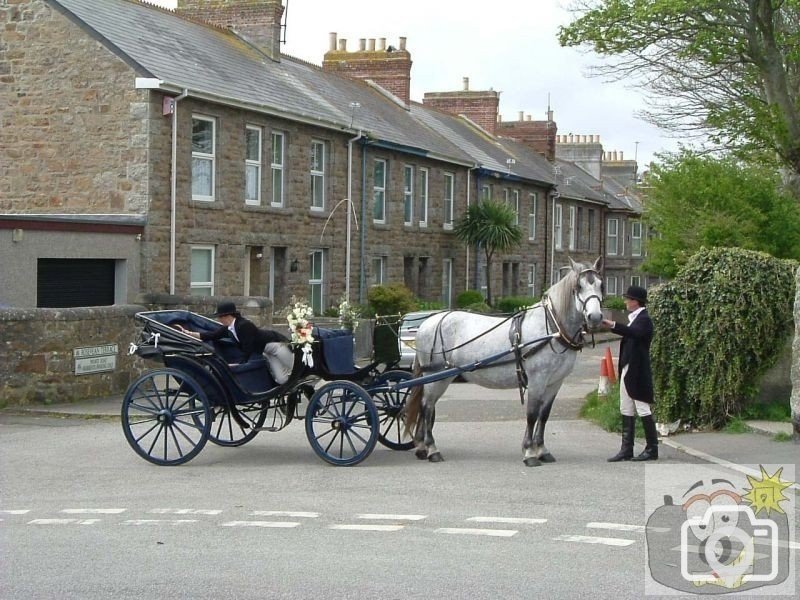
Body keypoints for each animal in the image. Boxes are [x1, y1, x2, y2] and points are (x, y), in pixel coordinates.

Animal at [404, 255, 604, 466]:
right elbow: (532, 414)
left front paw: (542, 449)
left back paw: (422, 447)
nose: (595, 317)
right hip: (436, 376)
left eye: (601, 285)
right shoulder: (537, 379)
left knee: (426, 407)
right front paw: (529, 452)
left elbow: (544, 415)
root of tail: (426, 323)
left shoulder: (555, 382)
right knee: (427, 407)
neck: (552, 327)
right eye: (578, 287)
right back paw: (432, 449)